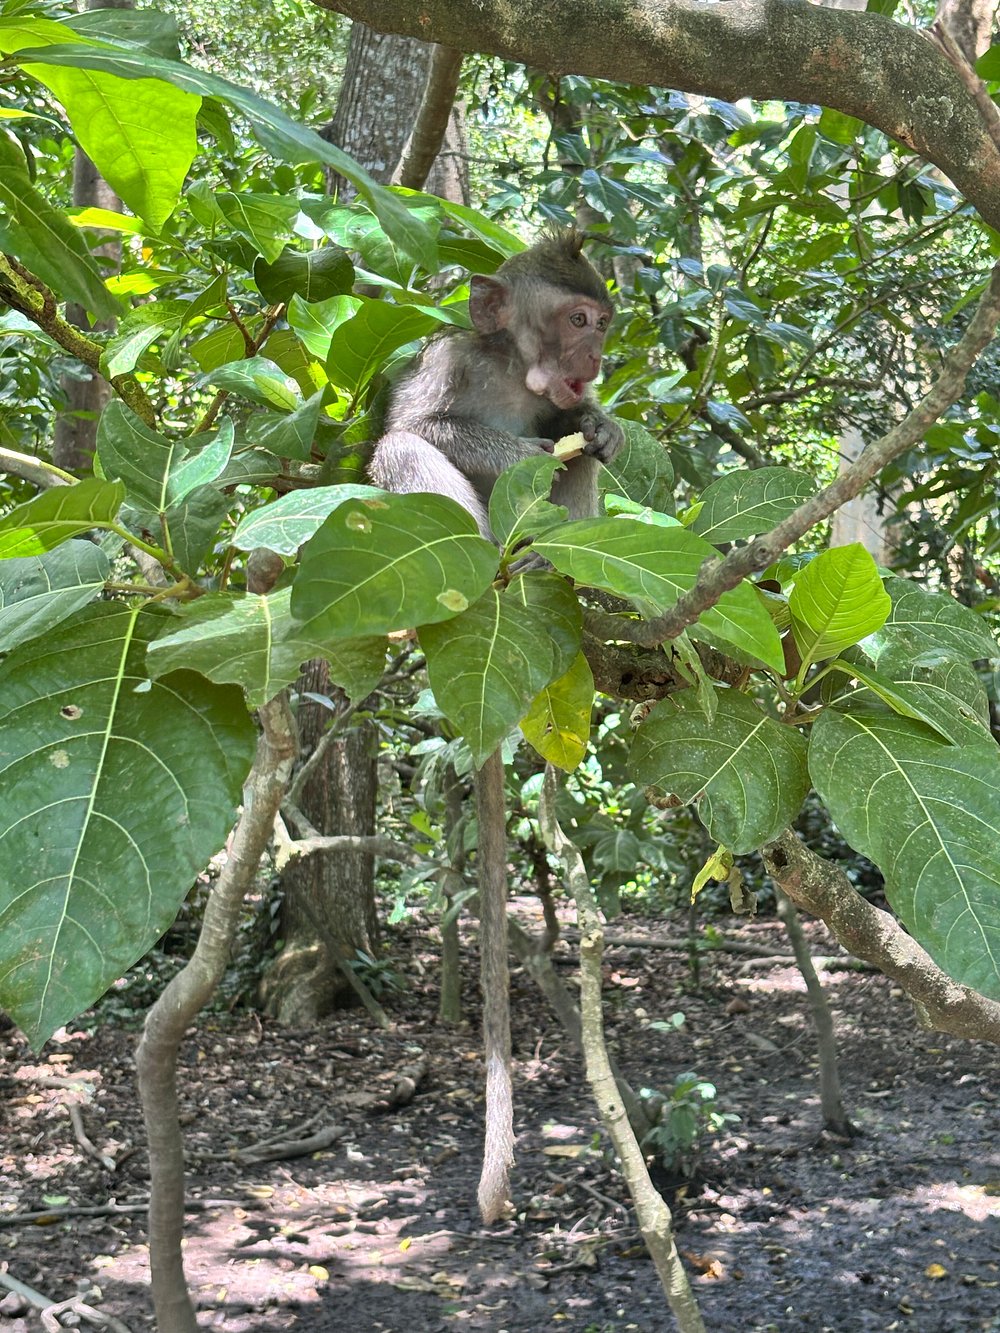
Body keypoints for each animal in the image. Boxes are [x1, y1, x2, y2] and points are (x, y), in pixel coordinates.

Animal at [368, 227, 624, 539]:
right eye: (578, 320)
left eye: (601, 324)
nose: (595, 356)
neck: (513, 369)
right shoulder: (447, 357)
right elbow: (413, 423)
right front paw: (521, 456)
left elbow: (567, 423)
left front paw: (601, 425)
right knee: (401, 445)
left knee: (583, 456)